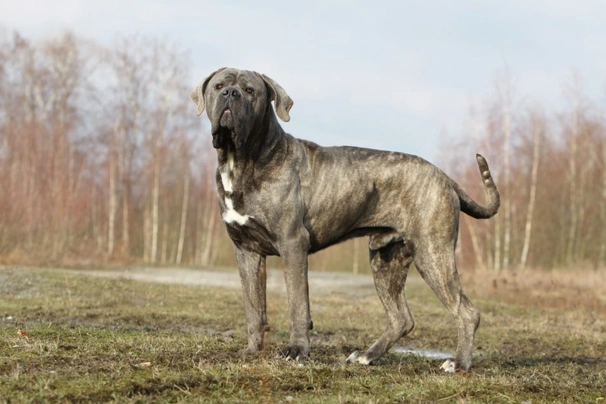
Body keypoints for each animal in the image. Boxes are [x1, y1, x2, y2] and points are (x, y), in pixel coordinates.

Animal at [192, 67, 502, 372]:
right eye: (218, 86)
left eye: (249, 90)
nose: (229, 94)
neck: (243, 160)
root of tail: (445, 177)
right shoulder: (247, 251)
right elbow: (253, 307)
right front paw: (253, 350)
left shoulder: (293, 245)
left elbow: (297, 304)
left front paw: (297, 351)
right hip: (385, 260)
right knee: (402, 318)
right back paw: (368, 356)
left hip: (433, 254)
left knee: (466, 311)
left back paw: (458, 363)